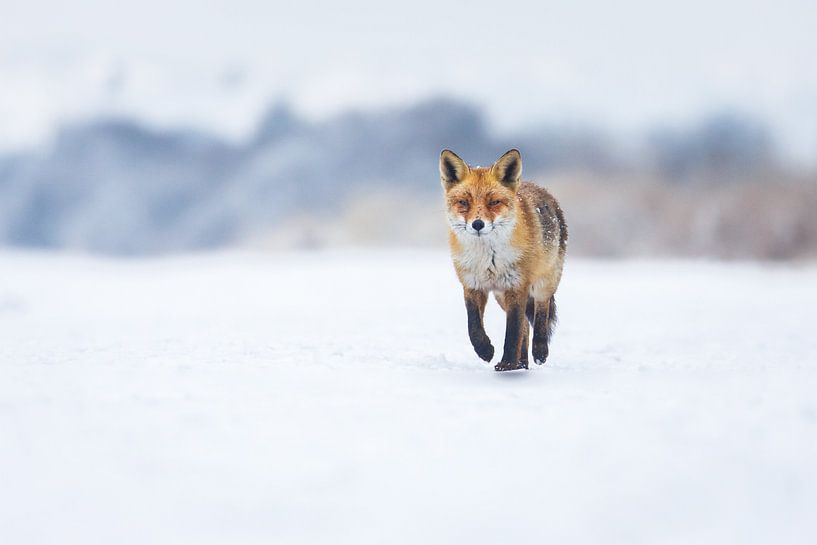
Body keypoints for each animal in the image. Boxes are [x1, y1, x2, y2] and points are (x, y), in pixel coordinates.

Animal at [440, 149, 568, 370]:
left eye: (494, 202)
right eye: (464, 202)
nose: (478, 224)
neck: (488, 260)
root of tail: (539, 187)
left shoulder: (517, 286)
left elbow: (513, 331)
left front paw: (507, 362)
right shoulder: (472, 285)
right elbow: (473, 327)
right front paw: (485, 351)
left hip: (544, 283)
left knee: (540, 314)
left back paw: (539, 351)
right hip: (501, 296)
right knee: (526, 326)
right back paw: (522, 363)